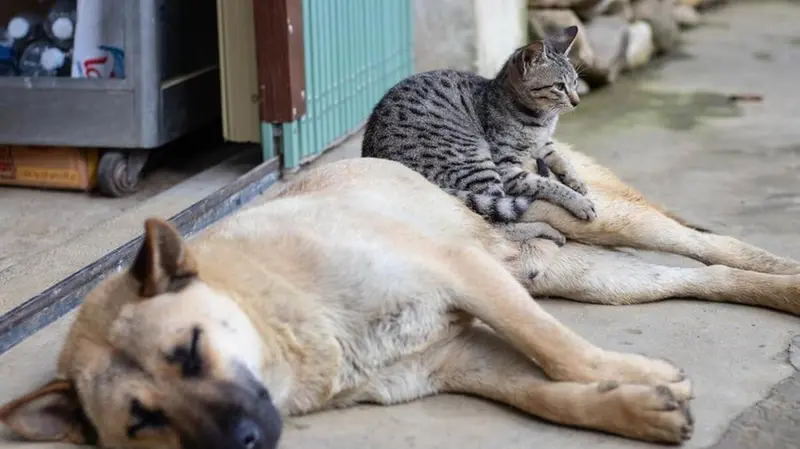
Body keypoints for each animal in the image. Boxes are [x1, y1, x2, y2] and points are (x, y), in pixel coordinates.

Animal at [1, 141, 800, 448]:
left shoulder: (463, 273)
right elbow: (547, 392)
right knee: (702, 277)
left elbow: (556, 348)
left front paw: (637, 375)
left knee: (713, 247)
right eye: (142, 420)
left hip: (603, 221)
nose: (243, 442)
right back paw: (780, 292)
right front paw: (633, 404)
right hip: (592, 279)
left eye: (190, 349)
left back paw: (786, 275)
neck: (282, 317)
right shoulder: (459, 359)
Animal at [362, 25, 592, 228]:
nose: (577, 101)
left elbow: (561, 159)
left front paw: (576, 180)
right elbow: (546, 184)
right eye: (559, 86)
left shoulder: (545, 143)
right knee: (500, 219)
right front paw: (578, 201)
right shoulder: (506, 166)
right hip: (476, 162)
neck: (541, 121)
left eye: (575, 82)